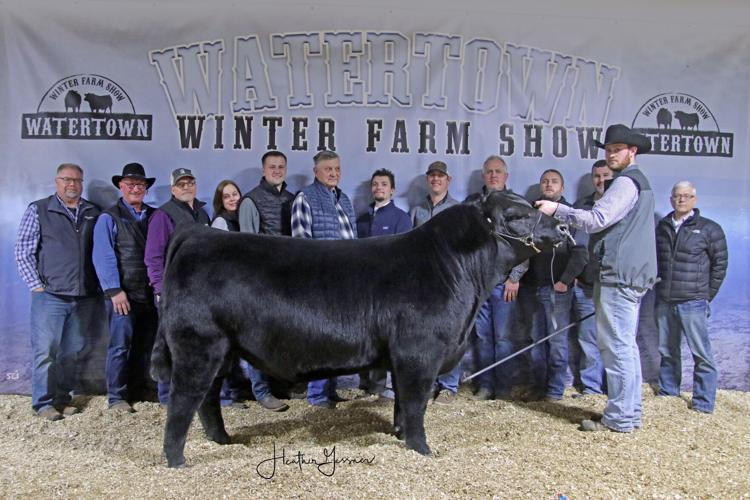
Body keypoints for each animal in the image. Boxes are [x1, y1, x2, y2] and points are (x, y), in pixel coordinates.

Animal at [152, 191, 571, 468]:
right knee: (184, 400)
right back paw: (177, 460)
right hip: (198, 345)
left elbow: (402, 403)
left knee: (206, 399)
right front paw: (422, 449)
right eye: (515, 214)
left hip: (223, 349)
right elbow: (416, 403)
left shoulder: (404, 358)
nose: (561, 224)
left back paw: (222, 441)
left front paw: (400, 436)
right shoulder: (419, 353)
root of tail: (200, 233)